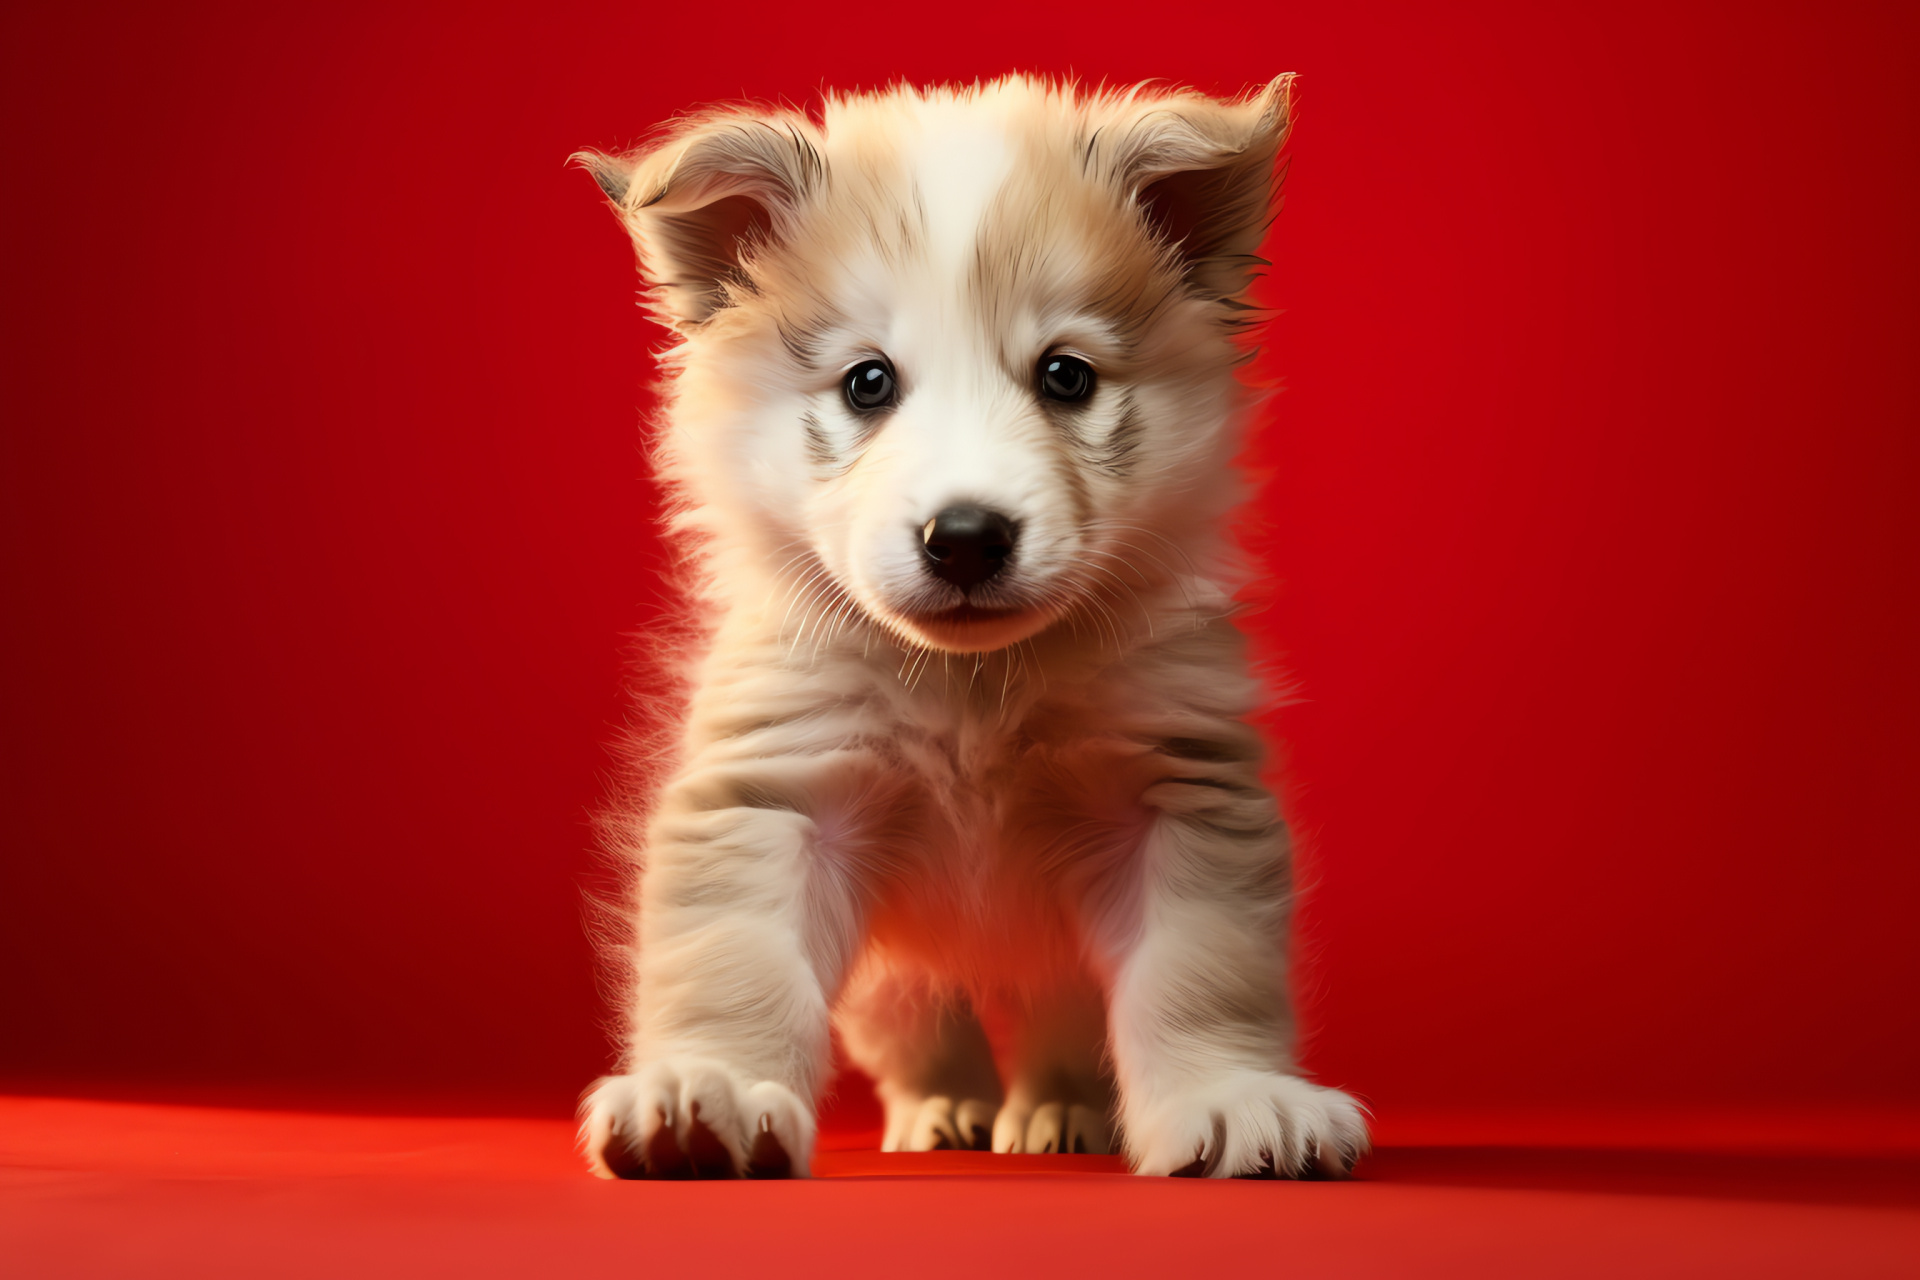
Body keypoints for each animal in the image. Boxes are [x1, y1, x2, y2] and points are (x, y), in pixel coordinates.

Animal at [568, 72, 1367, 1182]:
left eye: (1067, 375)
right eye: (867, 382)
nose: (967, 538)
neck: (971, 686)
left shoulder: (1178, 793)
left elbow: (1203, 974)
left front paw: (1235, 1097)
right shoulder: (777, 785)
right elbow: (733, 965)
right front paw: (707, 1091)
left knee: (1060, 1031)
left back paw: (1059, 1112)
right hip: (893, 982)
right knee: (922, 1029)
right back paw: (944, 1108)